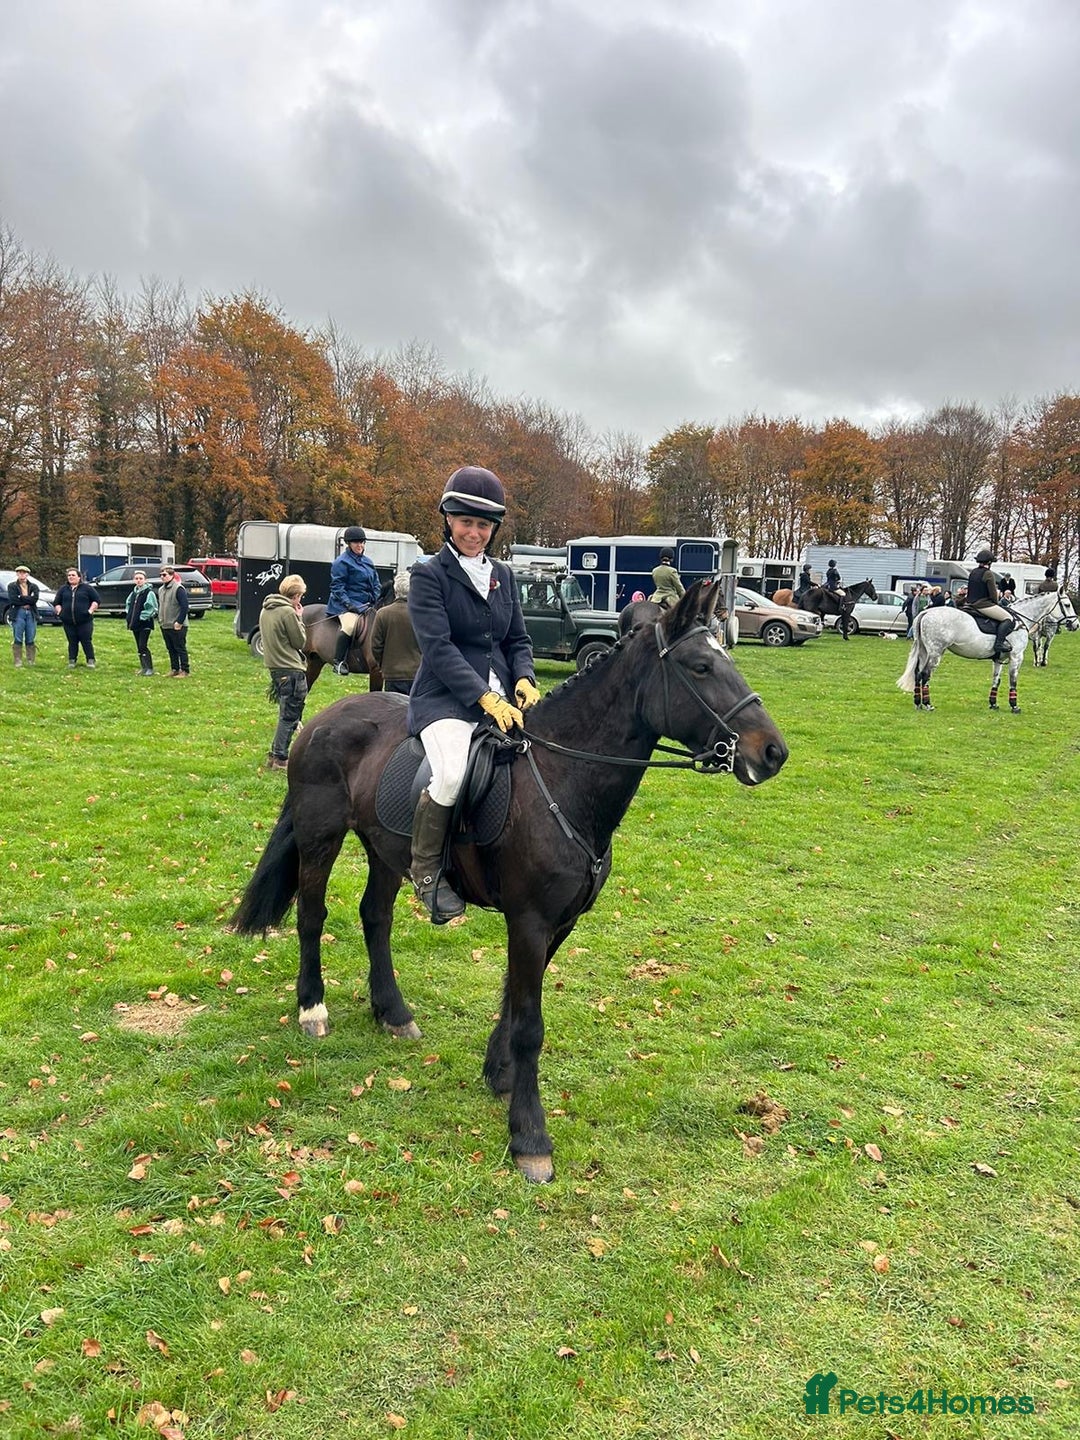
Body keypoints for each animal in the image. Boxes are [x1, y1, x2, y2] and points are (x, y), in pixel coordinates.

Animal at [231, 582, 788, 1183]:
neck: (564, 780)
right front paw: (530, 1135)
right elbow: (530, 1025)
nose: (772, 752)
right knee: (312, 917)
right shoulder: (529, 921)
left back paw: (394, 1013)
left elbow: (514, 1003)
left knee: (375, 917)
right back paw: (313, 1009)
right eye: (701, 667)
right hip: (321, 837)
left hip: (386, 851)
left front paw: (499, 1074)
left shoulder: (558, 924)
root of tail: (322, 719)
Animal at [897, 588, 1076, 712]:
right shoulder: (1016, 656)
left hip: (924, 651)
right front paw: (1014, 706)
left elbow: (996, 680)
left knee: (917, 673)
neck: (1021, 618)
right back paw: (928, 704)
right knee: (925, 674)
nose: (1075, 625)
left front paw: (993, 704)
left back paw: (918, 703)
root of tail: (926, 612)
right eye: (1067, 605)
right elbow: (1013, 680)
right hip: (936, 652)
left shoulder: (999, 659)